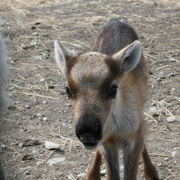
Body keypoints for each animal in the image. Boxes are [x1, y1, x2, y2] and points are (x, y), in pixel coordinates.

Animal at [53, 19, 159, 180]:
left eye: (113, 88)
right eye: (68, 90)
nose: (87, 130)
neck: (116, 128)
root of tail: (116, 20)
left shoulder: (132, 139)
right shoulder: (107, 143)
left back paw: (151, 172)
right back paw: (93, 173)